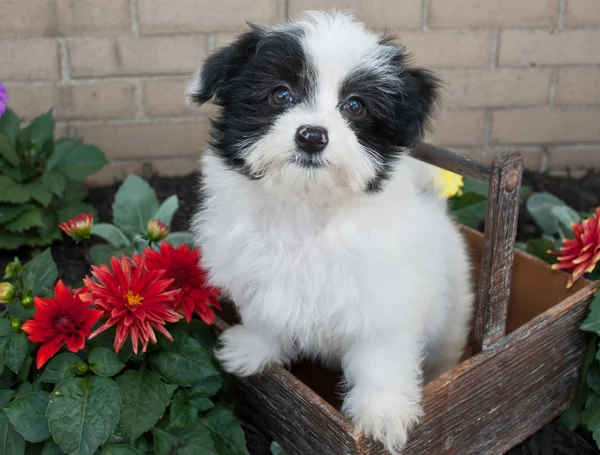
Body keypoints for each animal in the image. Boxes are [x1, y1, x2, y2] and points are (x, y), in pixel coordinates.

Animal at [188, 11, 474, 455]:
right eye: (281, 95)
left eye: (355, 106)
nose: (311, 135)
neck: (308, 208)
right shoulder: (258, 275)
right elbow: (264, 315)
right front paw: (252, 350)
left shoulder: (386, 301)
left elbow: (381, 357)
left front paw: (382, 414)